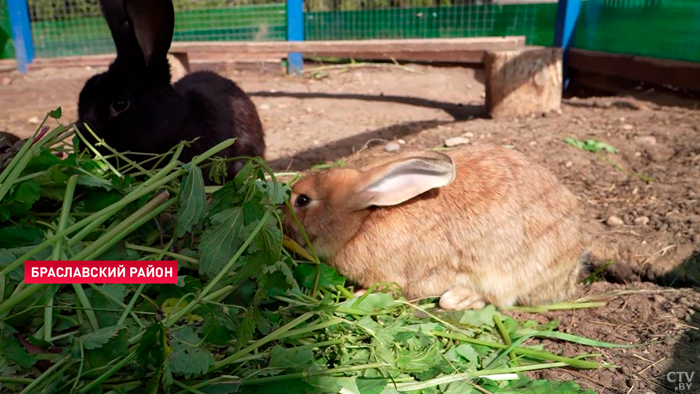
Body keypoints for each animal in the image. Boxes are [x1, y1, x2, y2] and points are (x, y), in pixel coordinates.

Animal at [282, 143, 584, 310]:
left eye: (303, 200)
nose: (282, 221)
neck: (362, 221)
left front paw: (357, 295)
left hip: (512, 272)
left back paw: (460, 298)